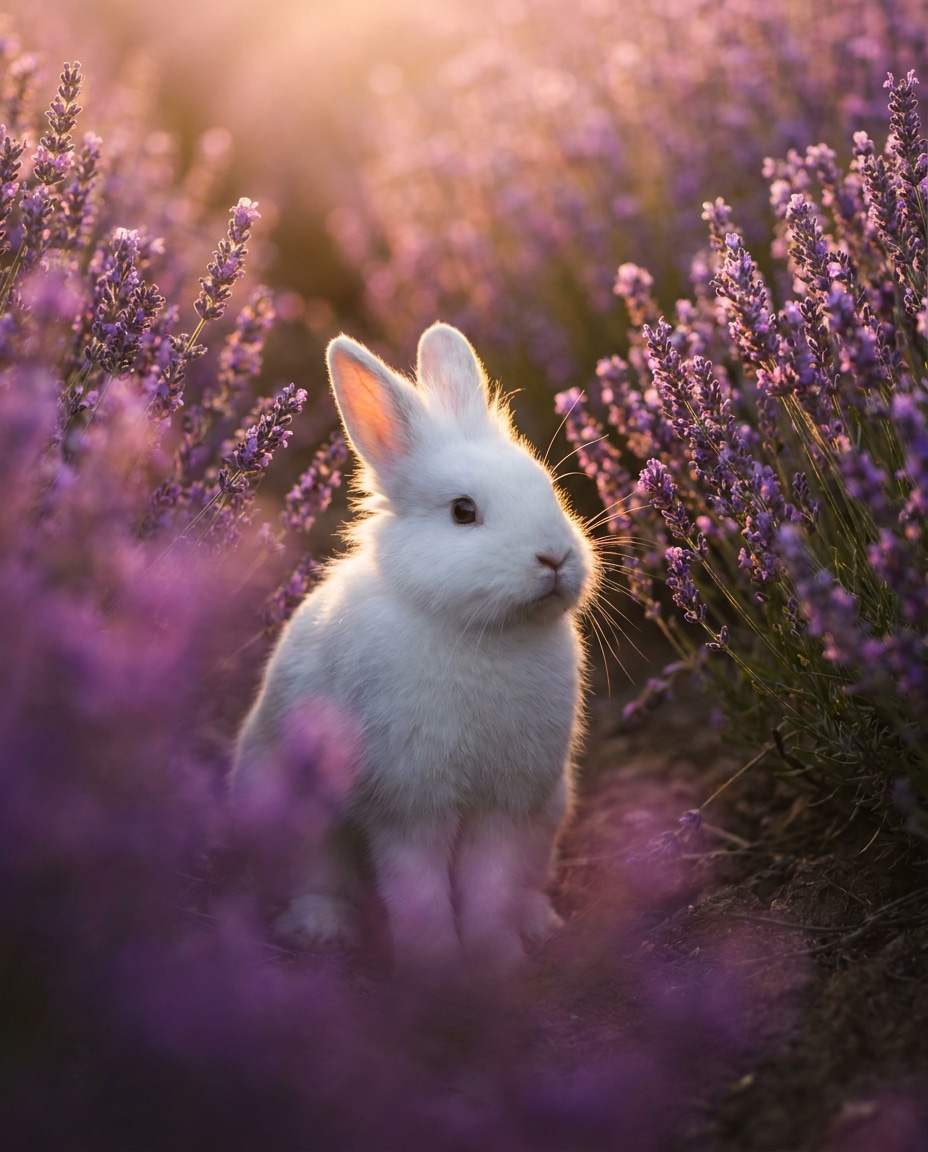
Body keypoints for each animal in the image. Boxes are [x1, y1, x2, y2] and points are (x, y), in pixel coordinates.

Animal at [232, 322, 598, 975]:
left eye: (547, 488)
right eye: (463, 512)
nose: (555, 558)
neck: (480, 633)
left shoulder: (505, 808)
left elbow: (489, 885)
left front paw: (497, 960)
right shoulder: (408, 806)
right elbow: (418, 887)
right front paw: (437, 968)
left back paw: (536, 921)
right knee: (314, 881)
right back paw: (324, 928)